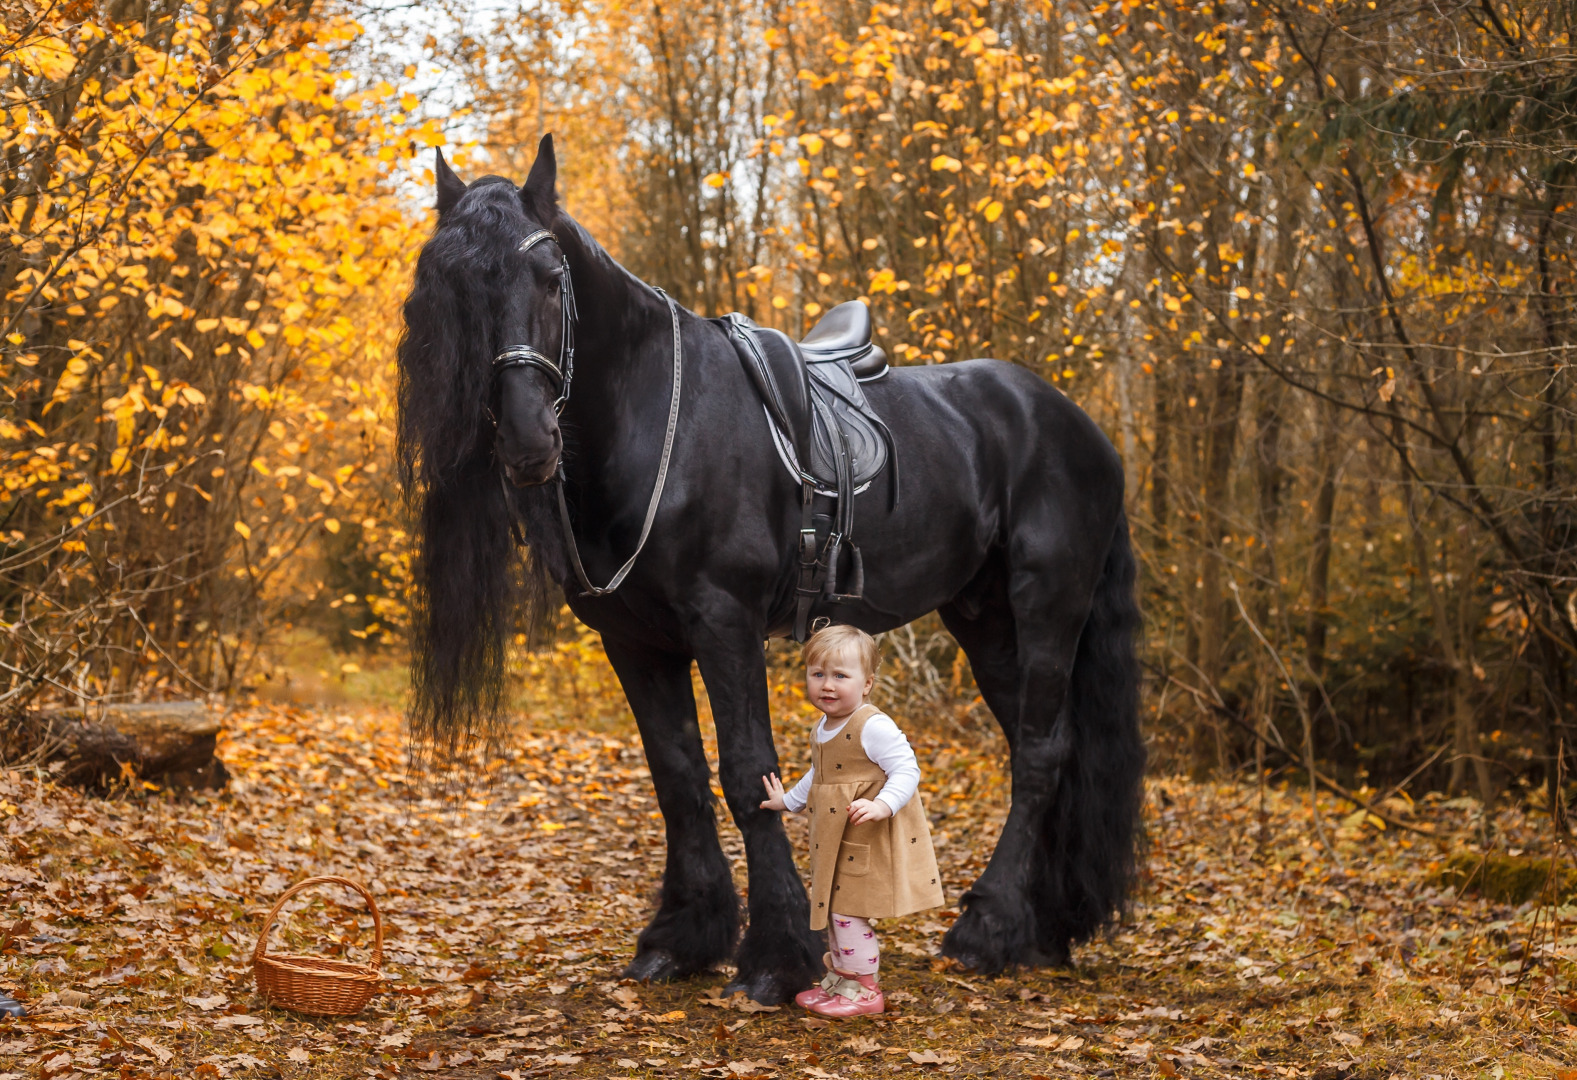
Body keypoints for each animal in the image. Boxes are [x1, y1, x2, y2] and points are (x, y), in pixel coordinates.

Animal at [394, 137, 1148, 1002]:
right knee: (1043, 745)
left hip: (1047, 601)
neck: (652, 418)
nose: (525, 441)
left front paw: (777, 955)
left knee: (1040, 753)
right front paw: (681, 938)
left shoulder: (724, 623)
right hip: (986, 619)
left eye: (551, 277)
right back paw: (1042, 929)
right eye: (448, 288)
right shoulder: (635, 641)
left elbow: (745, 772)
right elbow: (677, 776)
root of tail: (1076, 424)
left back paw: (986, 930)